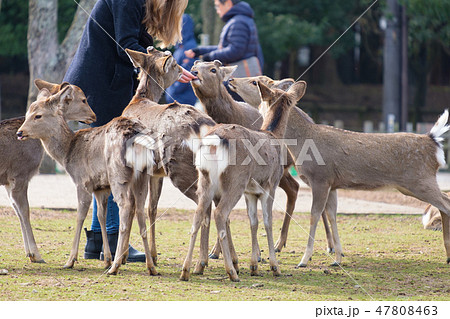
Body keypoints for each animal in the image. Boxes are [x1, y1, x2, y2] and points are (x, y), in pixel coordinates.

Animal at [0, 80, 96, 264]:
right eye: (83, 99)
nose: (93, 116)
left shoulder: (8, 180)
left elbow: (17, 211)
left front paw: (28, 253)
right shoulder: (20, 174)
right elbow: (24, 211)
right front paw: (36, 255)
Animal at [15, 86, 160, 276]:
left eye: (38, 115)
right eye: (26, 114)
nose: (19, 132)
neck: (68, 153)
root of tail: (136, 137)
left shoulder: (82, 181)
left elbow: (80, 215)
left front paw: (70, 260)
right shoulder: (100, 187)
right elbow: (101, 216)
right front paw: (106, 259)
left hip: (118, 175)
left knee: (126, 207)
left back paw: (115, 267)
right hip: (142, 176)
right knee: (140, 209)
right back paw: (150, 266)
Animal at [181, 80, 308, 282]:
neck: (274, 135)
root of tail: (214, 142)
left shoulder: (250, 192)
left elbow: (253, 221)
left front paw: (254, 266)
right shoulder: (270, 186)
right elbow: (267, 221)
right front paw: (274, 266)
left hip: (204, 178)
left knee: (199, 214)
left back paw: (187, 270)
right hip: (236, 181)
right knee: (220, 213)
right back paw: (231, 271)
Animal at [189, 60, 334, 260]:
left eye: (213, 69)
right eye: (195, 66)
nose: (194, 73)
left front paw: (255, 253)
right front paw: (216, 252)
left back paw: (328, 246)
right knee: (294, 188)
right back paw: (281, 244)